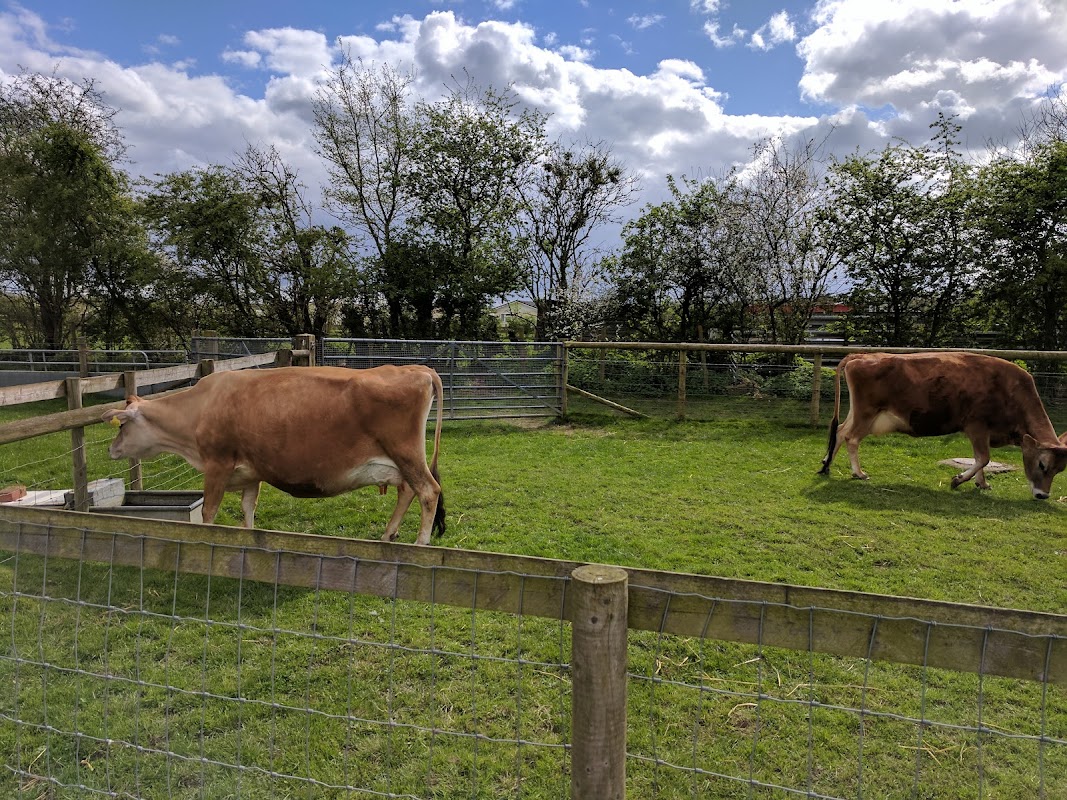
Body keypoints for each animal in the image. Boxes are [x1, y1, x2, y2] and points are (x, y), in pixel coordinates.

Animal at [101, 364, 445, 543]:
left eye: (122, 426)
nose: (111, 449)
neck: (202, 406)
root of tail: (416, 369)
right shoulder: (251, 472)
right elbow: (247, 508)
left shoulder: (217, 464)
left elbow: (209, 513)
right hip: (398, 461)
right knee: (408, 491)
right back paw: (388, 535)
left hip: (406, 453)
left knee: (429, 491)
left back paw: (421, 543)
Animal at [818, 352, 1067, 499]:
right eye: (1042, 464)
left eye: (1060, 469)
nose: (1043, 495)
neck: (1011, 390)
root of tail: (861, 355)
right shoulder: (976, 426)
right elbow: (983, 458)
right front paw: (958, 480)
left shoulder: (984, 432)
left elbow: (980, 459)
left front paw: (982, 484)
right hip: (867, 413)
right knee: (851, 438)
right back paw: (858, 473)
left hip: (860, 413)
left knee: (839, 431)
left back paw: (827, 465)